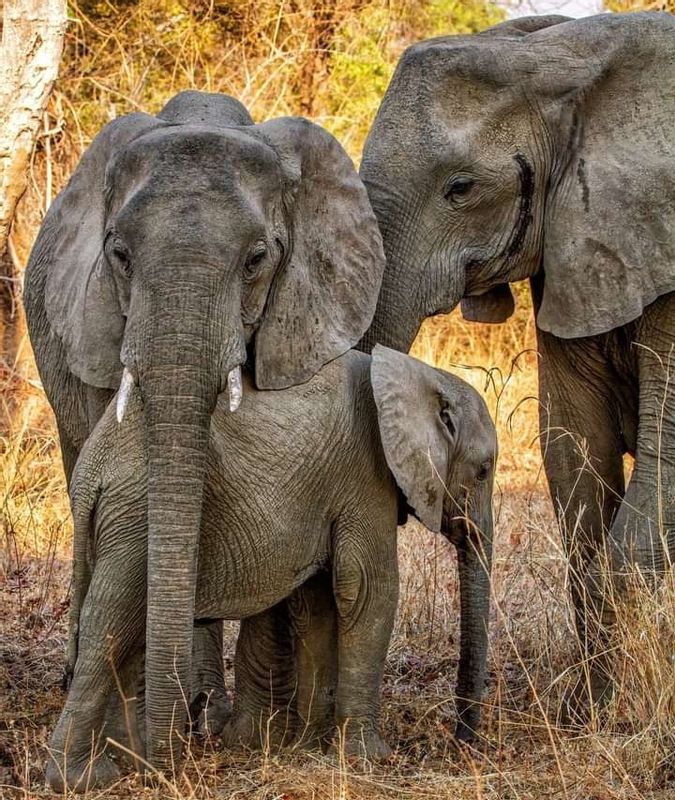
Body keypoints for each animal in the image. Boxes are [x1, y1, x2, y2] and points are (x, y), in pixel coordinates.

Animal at [50, 346, 496, 792]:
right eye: (484, 470)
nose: (462, 740)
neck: (420, 375)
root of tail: (89, 476)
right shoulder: (367, 477)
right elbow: (367, 592)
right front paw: (368, 759)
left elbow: (318, 604)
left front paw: (308, 749)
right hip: (135, 517)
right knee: (109, 627)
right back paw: (84, 778)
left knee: (122, 630)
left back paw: (124, 761)